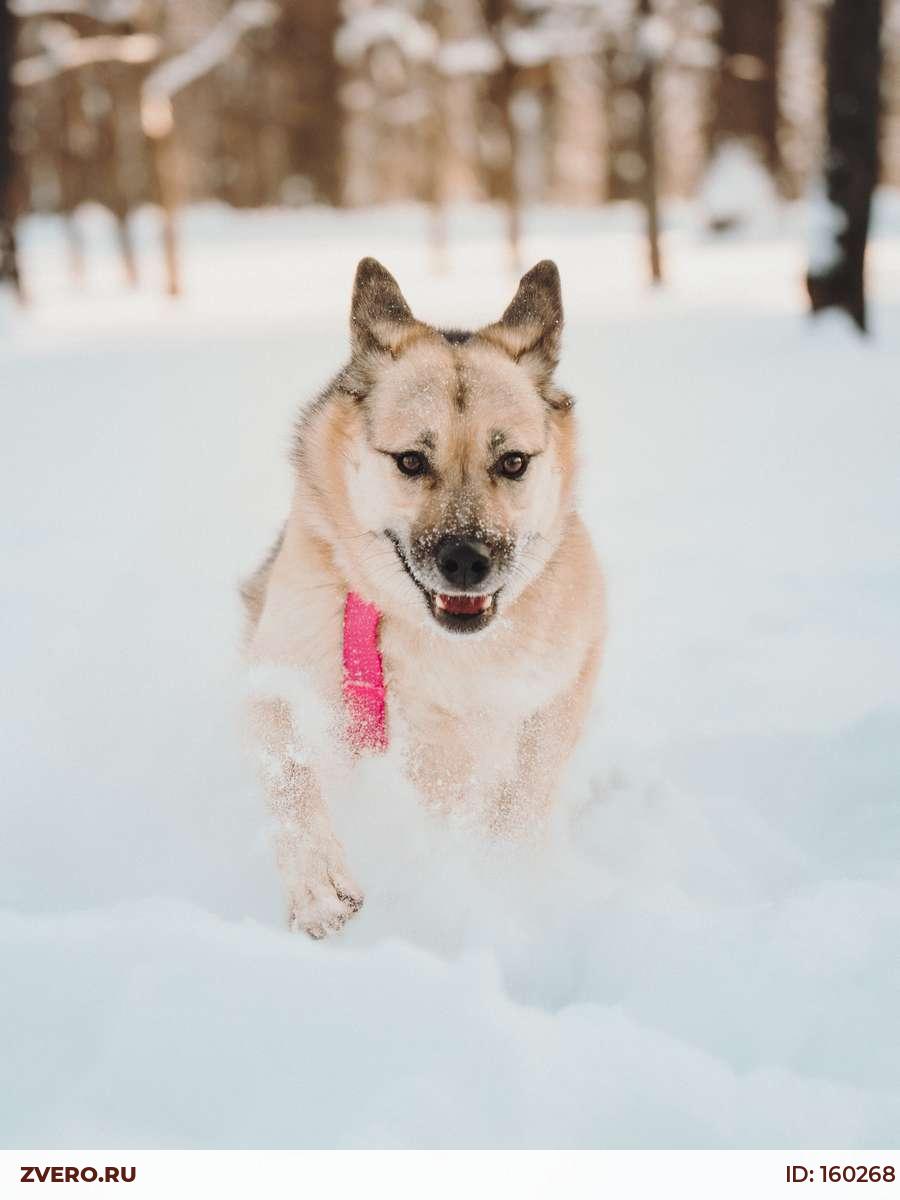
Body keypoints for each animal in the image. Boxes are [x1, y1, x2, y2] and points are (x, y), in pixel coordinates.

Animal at [243, 257, 605, 937]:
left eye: (513, 463)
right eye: (411, 461)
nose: (466, 560)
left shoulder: (561, 686)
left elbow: (525, 789)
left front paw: (503, 875)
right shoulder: (275, 679)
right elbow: (293, 777)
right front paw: (317, 884)